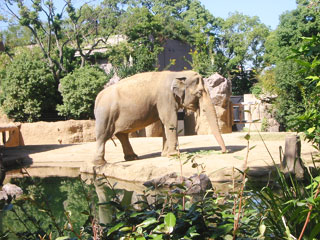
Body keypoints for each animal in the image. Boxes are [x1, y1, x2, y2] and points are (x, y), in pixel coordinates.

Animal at [93, 70, 228, 166]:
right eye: (199, 92)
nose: (224, 152)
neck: (177, 74)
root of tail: (97, 98)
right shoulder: (165, 98)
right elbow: (170, 121)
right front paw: (174, 154)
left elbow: (165, 124)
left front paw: (165, 154)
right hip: (106, 114)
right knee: (103, 136)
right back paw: (100, 163)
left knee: (122, 135)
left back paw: (132, 158)